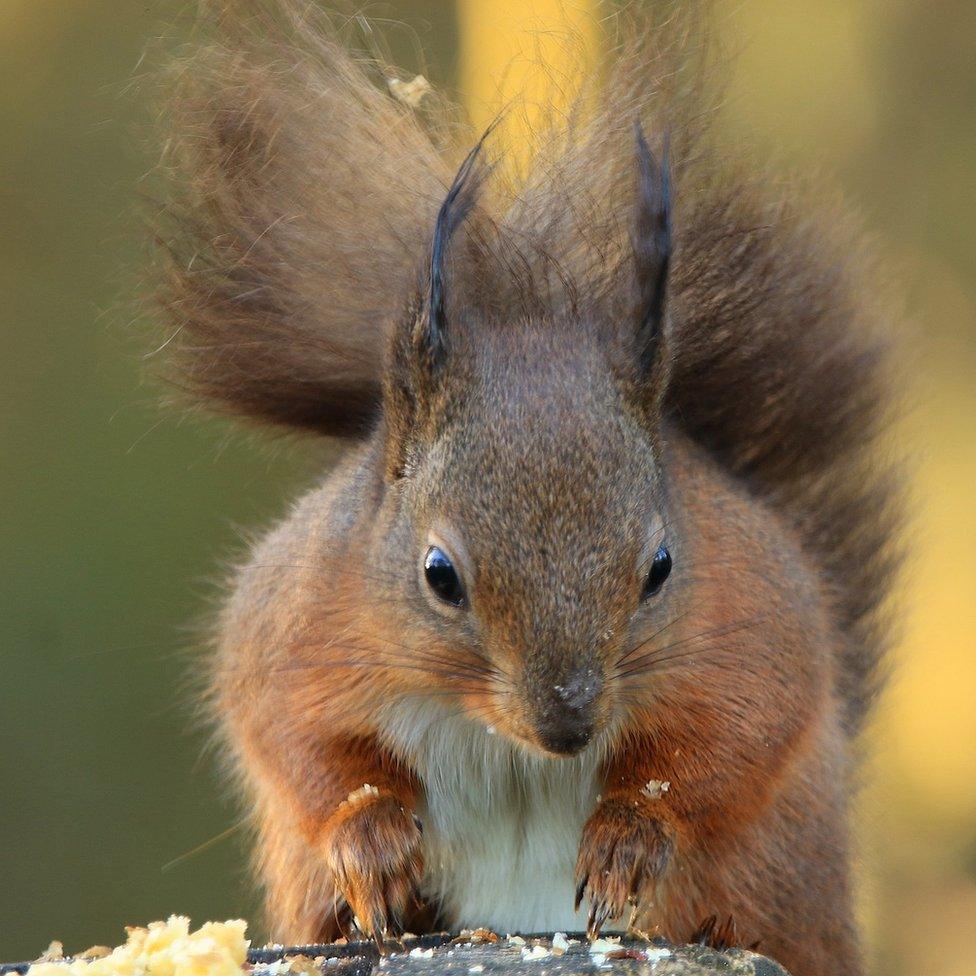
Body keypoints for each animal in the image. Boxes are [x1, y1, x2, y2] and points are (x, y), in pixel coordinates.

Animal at [151, 1, 900, 976]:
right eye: (439, 575)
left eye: (662, 567)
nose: (569, 725)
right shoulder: (294, 623)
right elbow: (300, 747)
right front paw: (370, 841)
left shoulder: (754, 625)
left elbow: (733, 739)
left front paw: (631, 838)